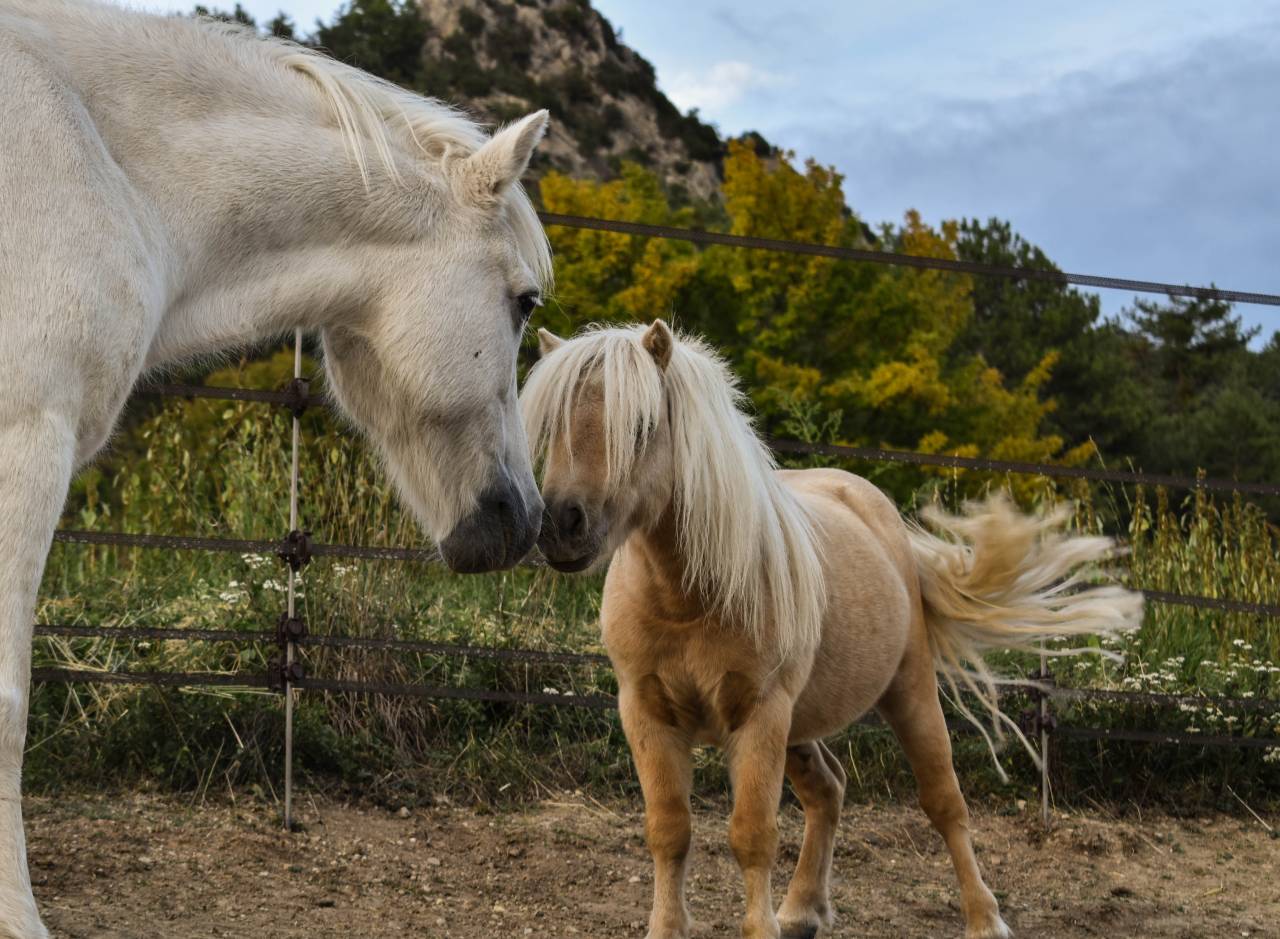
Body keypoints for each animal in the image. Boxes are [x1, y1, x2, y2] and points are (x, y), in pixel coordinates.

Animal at [523, 320, 1143, 939]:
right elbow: (669, 833)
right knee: (829, 790)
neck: (690, 599)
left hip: (908, 694)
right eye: (551, 424)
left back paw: (984, 919)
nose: (561, 524)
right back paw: (801, 910)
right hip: (801, 728)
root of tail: (881, 517)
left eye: (642, 426)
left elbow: (752, 837)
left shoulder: (761, 716)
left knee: (944, 803)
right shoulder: (647, 714)